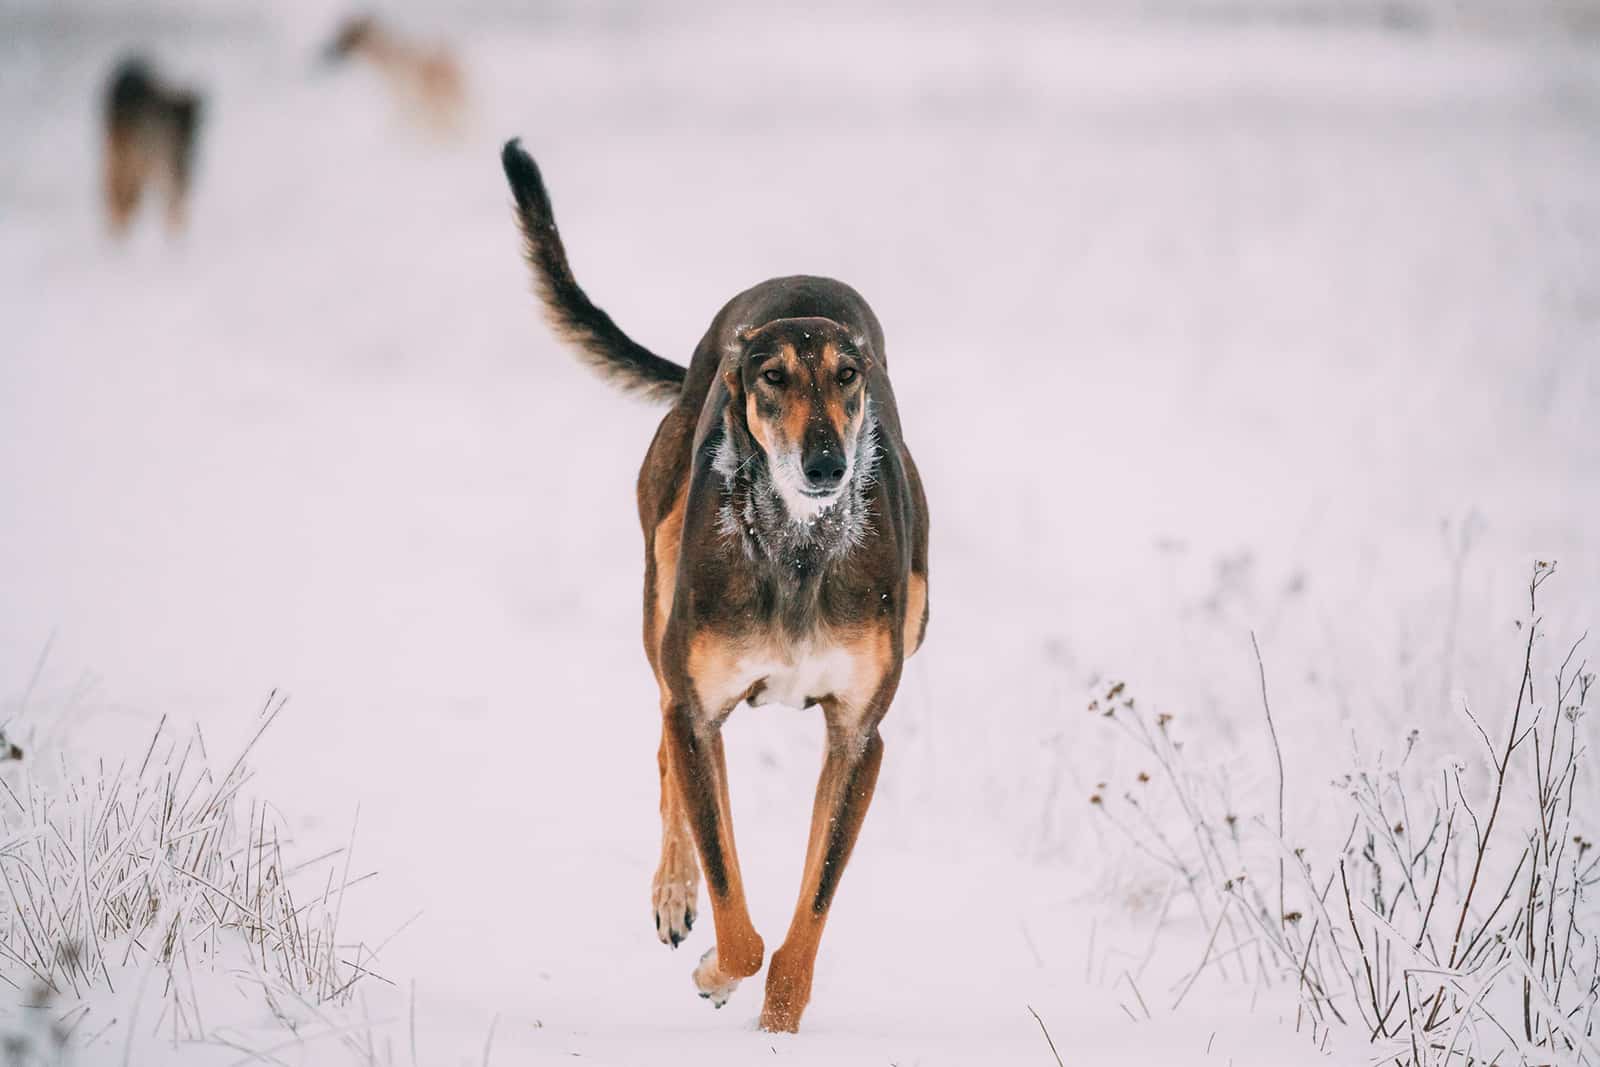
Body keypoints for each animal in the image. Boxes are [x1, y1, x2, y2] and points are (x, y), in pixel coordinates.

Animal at [496, 141, 928, 1036]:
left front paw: (778, 1032)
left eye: (847, 376)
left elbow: (808, 913)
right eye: (773, 378)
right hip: (662, 599)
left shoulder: (857, 737)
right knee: (665, 742)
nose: (827, 464)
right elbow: (735, 909)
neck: (797, 549)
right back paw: (672, 890)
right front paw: (712, 969)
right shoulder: (702, 710)